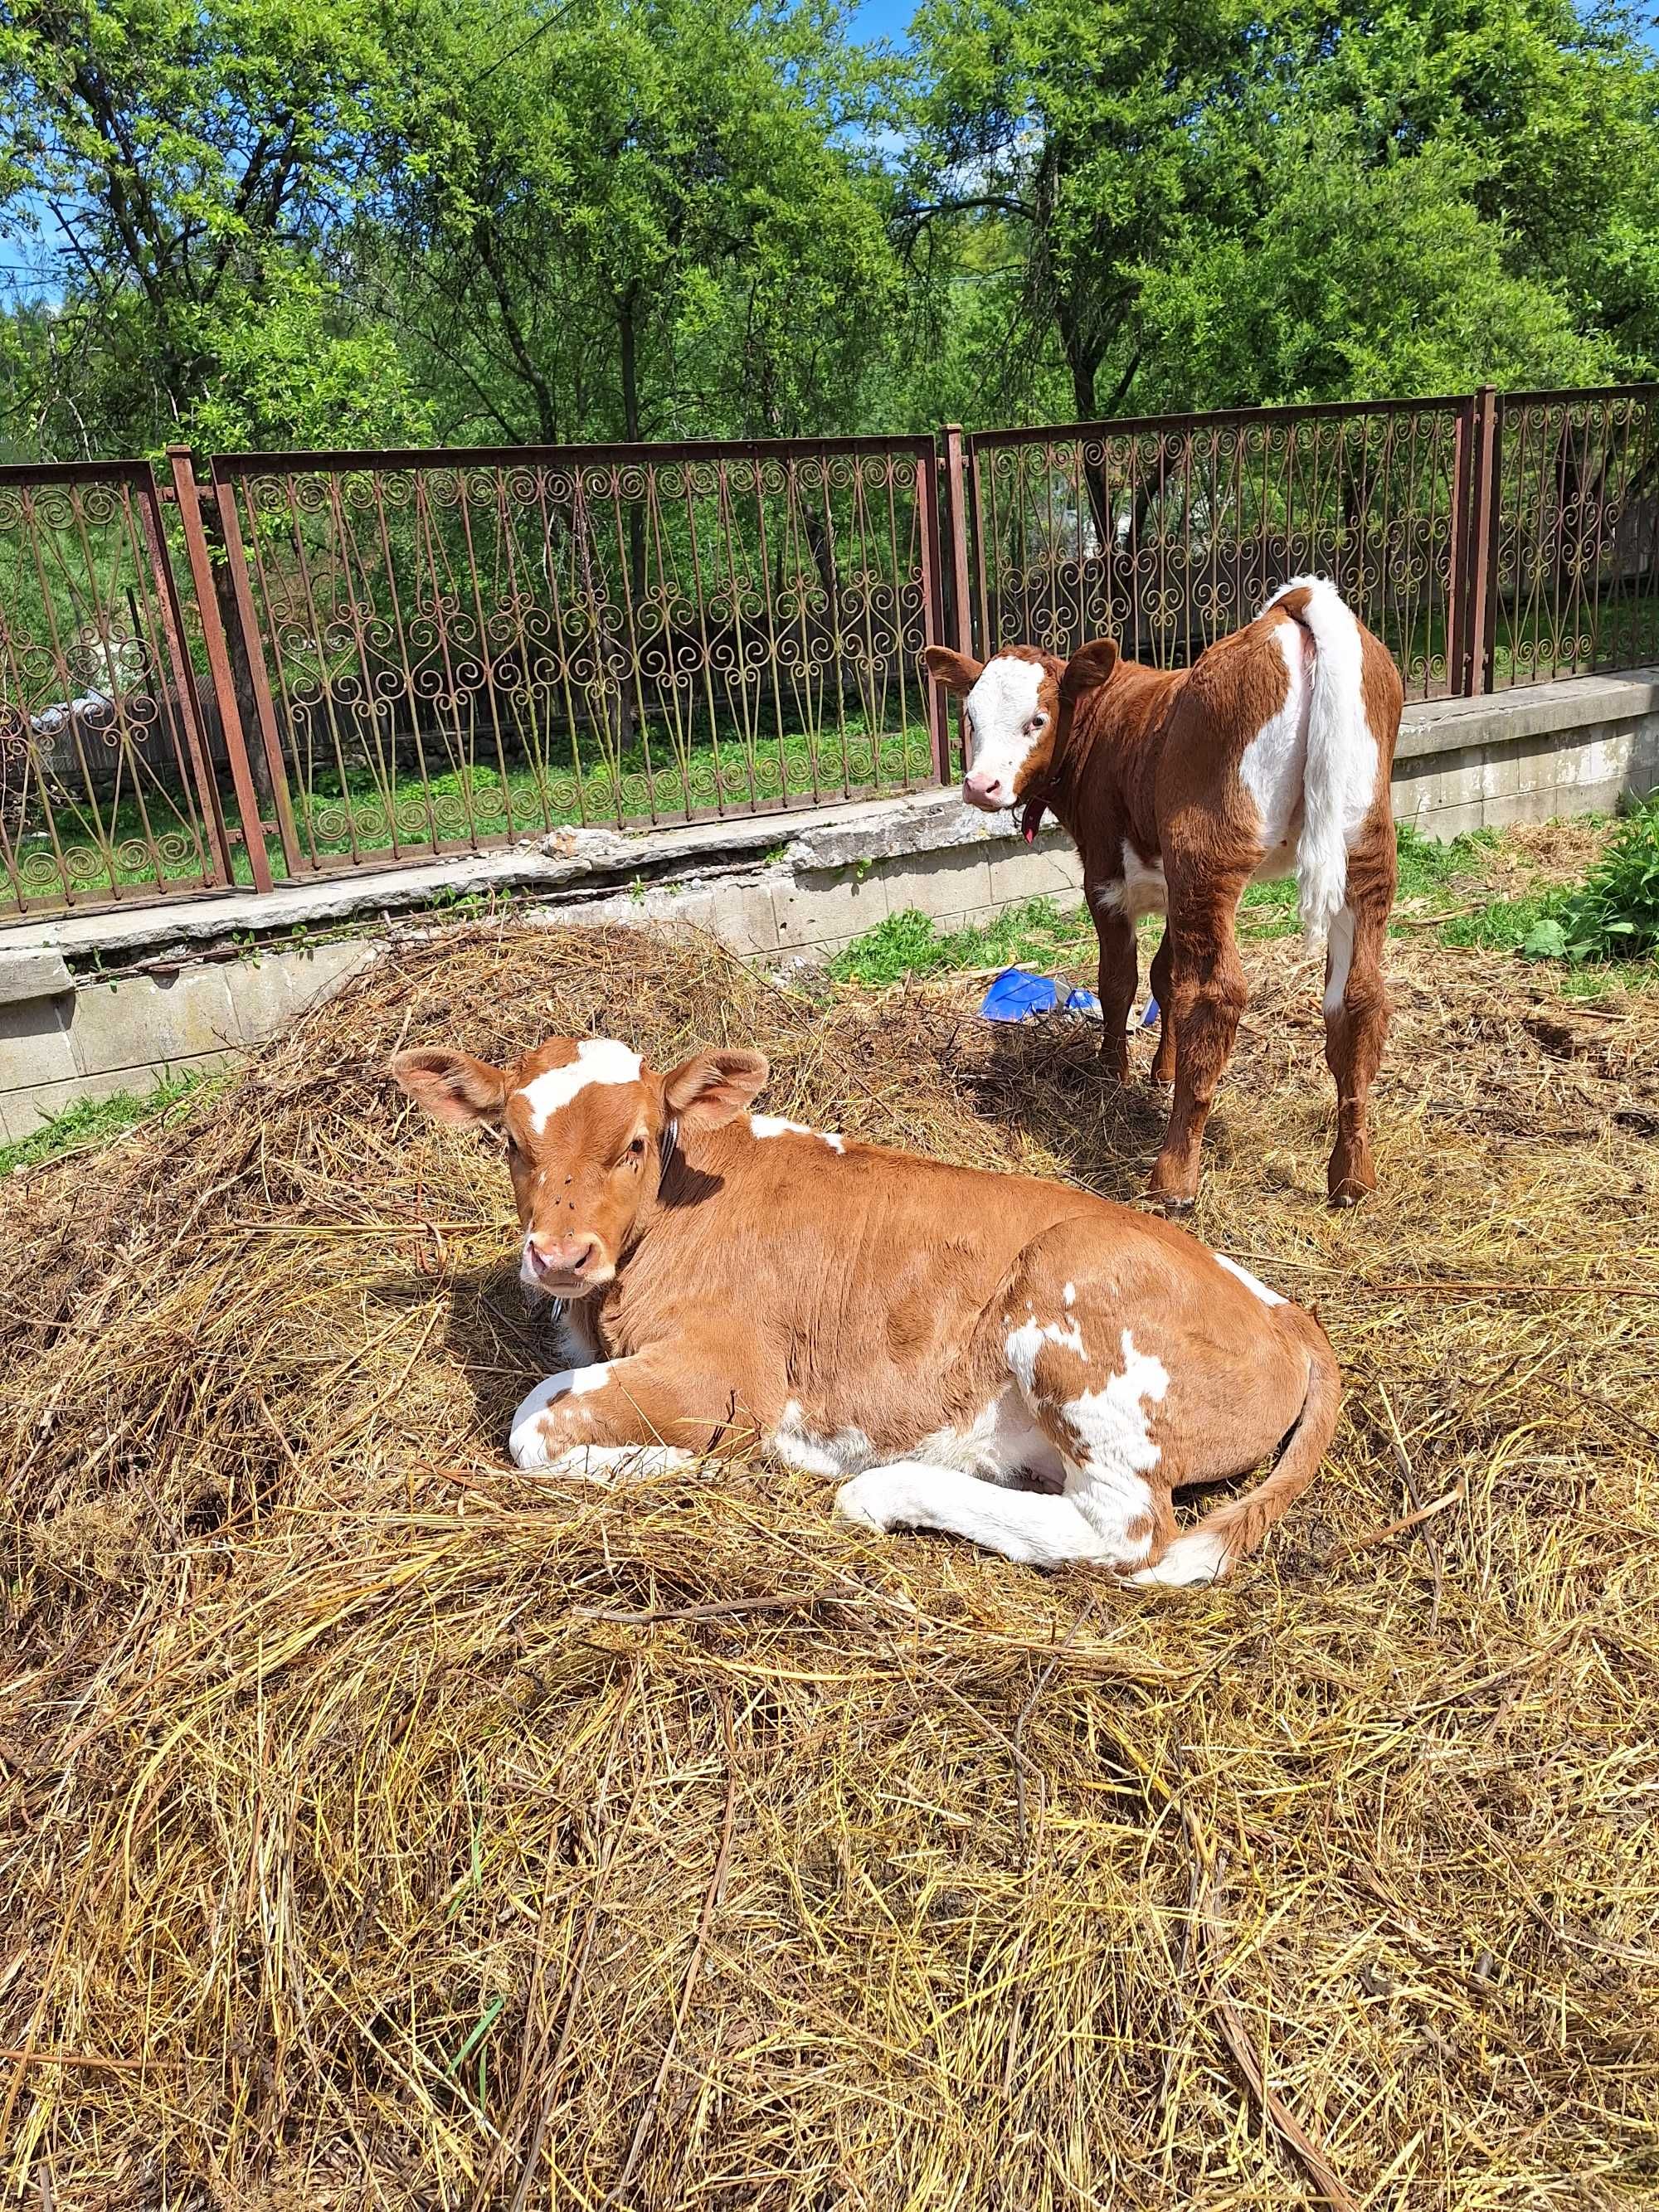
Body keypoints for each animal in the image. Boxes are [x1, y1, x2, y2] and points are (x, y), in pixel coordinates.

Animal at [396, 1026, 1345, 1583]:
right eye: (511, 1144)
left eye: (633, 1143)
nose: (558, 1256)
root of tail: (1280, 1307)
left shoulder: (727, 1373)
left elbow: (531, 1426)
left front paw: (691, 1462)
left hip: (1075, 1305)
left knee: (1124, 1528)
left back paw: (881, 1490)